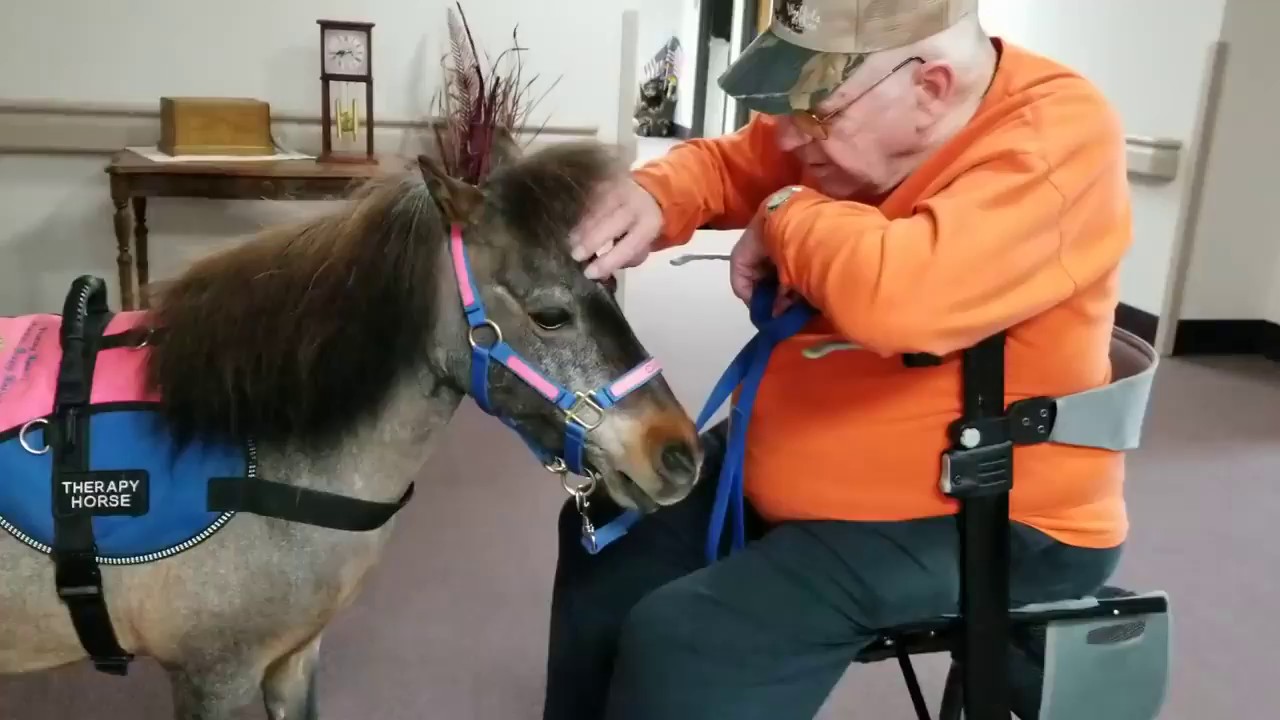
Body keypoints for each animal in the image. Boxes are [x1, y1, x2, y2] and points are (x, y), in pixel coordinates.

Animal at [0, 136, 703, 719]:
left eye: (610, 283)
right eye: (551, 315)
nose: (678, 454)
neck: (249, 443)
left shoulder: (293, 659)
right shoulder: (212, 679)